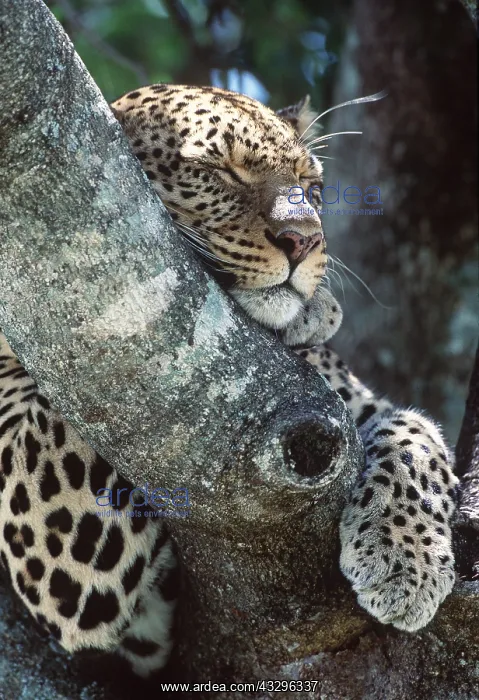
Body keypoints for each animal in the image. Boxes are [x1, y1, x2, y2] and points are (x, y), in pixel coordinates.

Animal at [0, 84, 458, 679]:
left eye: (312, 190)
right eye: (218, 172)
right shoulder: (43, 524)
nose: (303, 241)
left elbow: (414, 433)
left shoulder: (354, 407)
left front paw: (408, 562)